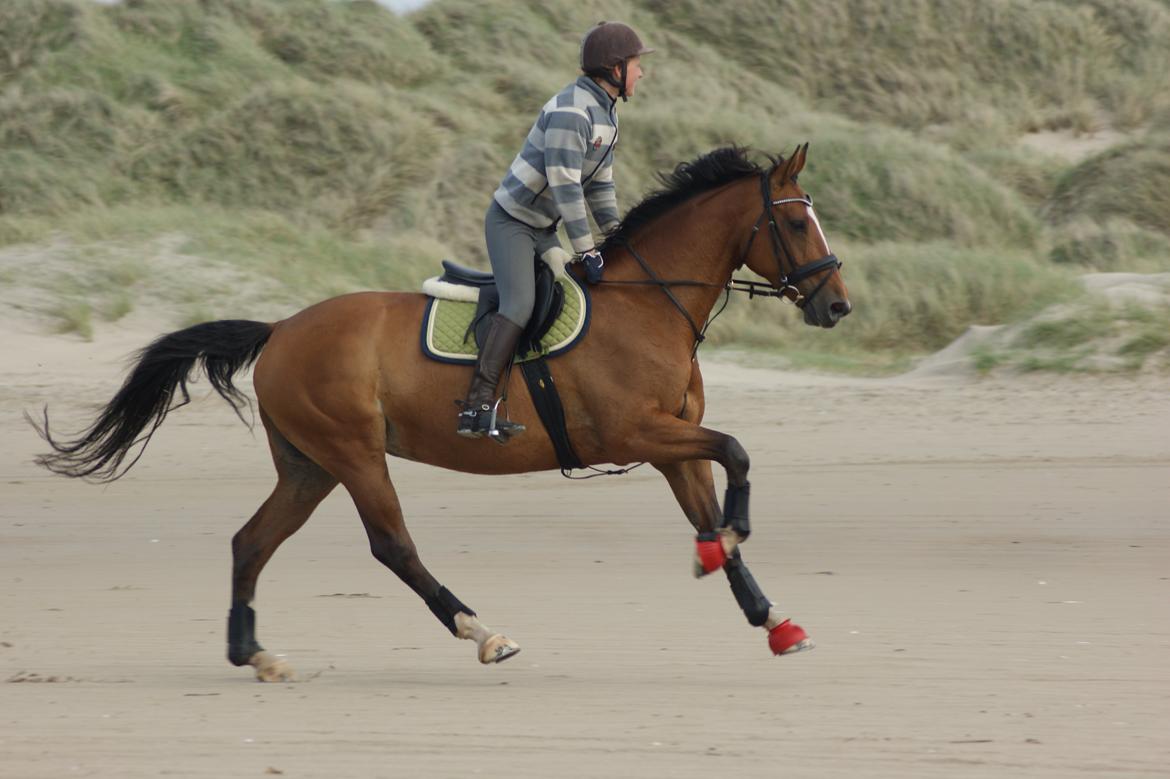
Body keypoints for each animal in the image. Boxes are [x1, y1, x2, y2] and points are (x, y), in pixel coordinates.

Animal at [29, 142, 851, 678]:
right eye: (797, 222)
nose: (838, 305)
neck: (648, 303)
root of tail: (282, 327)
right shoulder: (639, 432)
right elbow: (737, 451)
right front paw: (730, 544)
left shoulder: (670, 445)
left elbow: (712, 504)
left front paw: (772, 619)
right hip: (355, 453)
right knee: (392, 546)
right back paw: (481, 631)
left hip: (309, 465)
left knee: (251, 541)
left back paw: (253, 652)